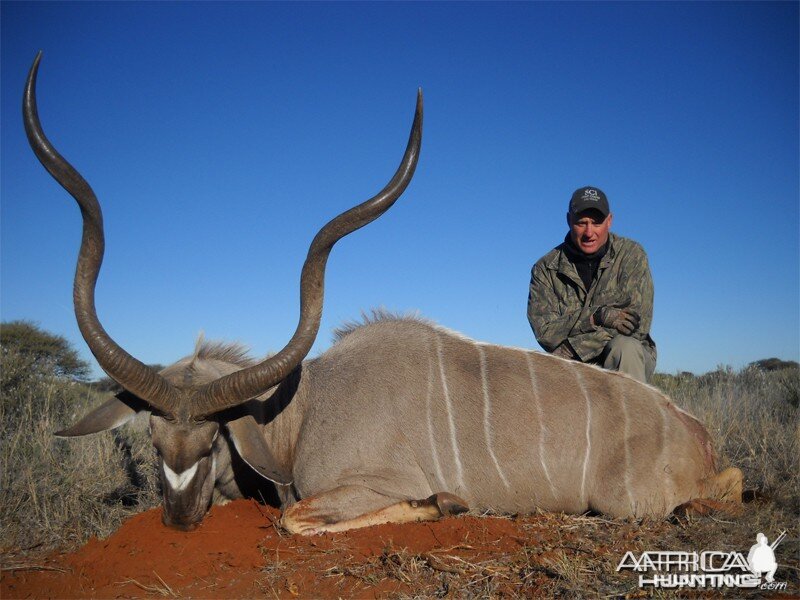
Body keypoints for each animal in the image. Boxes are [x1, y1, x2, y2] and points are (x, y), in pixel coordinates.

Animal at [21, 54, 740, 532]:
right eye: (152, 442)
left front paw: (442, 502)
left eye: (212, 441)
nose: (177, 518)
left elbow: (297, 518)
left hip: (628, 501)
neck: (303, 409)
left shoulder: (363, 484)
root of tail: (694, 430)